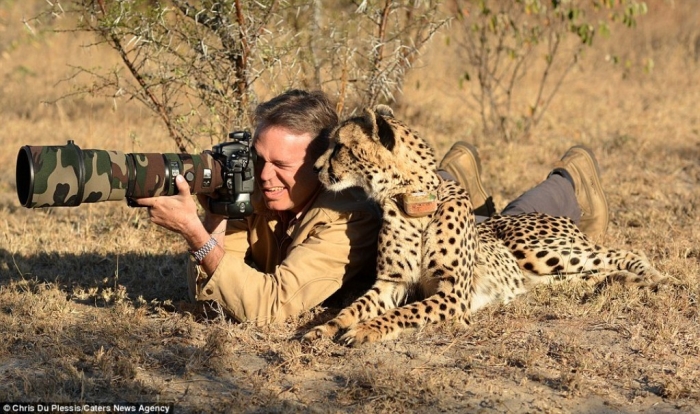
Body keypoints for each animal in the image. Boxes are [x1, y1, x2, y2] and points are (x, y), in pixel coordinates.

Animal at [302, 105, 669, 346]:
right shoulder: (391, 284)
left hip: (539, 251)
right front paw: (324, 328)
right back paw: (621, 281)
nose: (316, 168)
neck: (412, 202)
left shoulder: (454, 295)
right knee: (591, 272)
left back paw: (654, 278)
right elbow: (353, 308)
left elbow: (404, 313)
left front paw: (366, 330)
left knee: (623, 252)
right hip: (547, 275)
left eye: (340, 147)